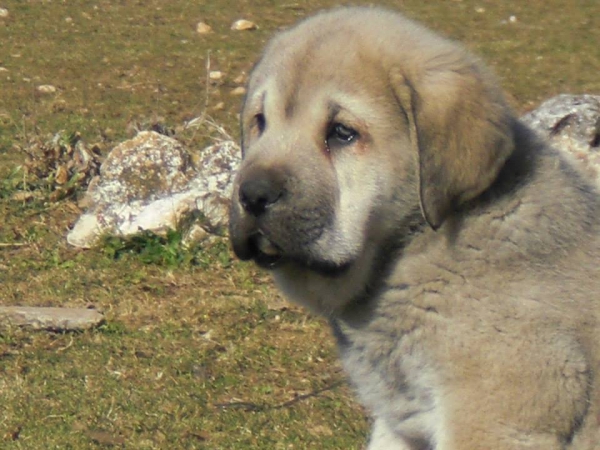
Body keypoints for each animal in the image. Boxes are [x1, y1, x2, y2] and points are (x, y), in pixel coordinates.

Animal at [229, 7, 600, 450]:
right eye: (260, 122)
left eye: (342, 133)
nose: (252, 194)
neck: (413, 249)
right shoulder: (401, 425)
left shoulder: (491, 419)